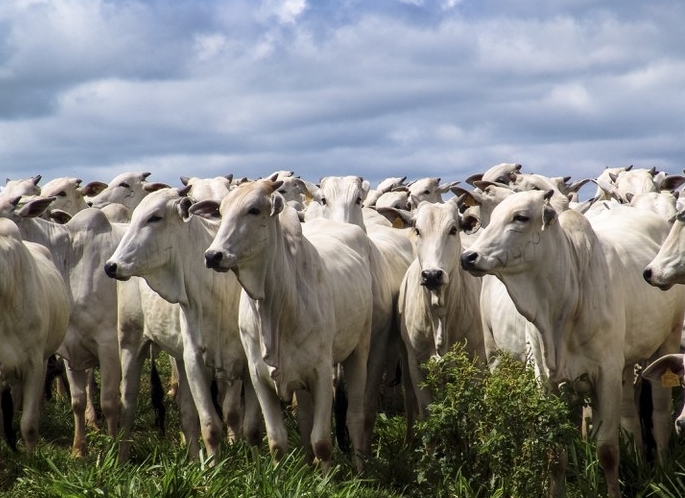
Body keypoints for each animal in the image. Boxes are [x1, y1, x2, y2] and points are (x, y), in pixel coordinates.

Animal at [105, 187, 262, 460]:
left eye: (155, 217)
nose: (111, 266)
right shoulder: (195, 359)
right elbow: (210, 426)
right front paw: (214, 468)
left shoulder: (247, 362)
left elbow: (250, 426)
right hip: (130, 341)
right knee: (127, 406)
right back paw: (122, 459)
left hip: (178, 356)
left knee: (187, 415)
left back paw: (193, 459)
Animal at [192, 179, 374, 470]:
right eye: (220, 211)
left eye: (254, 210)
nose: (213, 255)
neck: (275, 307)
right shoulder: (258, 377)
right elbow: (277, 441)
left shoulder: (322, 373)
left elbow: (322, 442)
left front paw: (326, 477)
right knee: (306, 419)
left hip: (359, 350)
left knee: (355, 417)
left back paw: (359, 469)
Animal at [460, 189, 684, 496]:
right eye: (491, 217)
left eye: (521, 217)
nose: (468, 256)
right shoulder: (546, 381)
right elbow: (555, 454)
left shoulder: (606, 375)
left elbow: (608, 450)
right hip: (496, 355)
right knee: (630, 415)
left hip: (667, 342)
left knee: (660, 415)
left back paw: (661, 470)